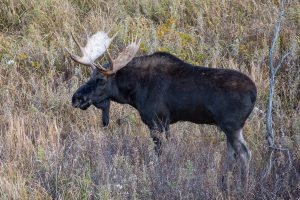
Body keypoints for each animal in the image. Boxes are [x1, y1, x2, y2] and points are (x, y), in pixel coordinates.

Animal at [67, 31, 256, 188]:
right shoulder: (166, 123)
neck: (134, 91)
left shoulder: (155, 121)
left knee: (244, 153)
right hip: (229, 127)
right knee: (232, 154)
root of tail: (254, 93)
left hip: (231, 125)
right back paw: (224, 183)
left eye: (101, 79)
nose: (76, 98)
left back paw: (243, 187)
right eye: (90, 76)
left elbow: (159, 154)